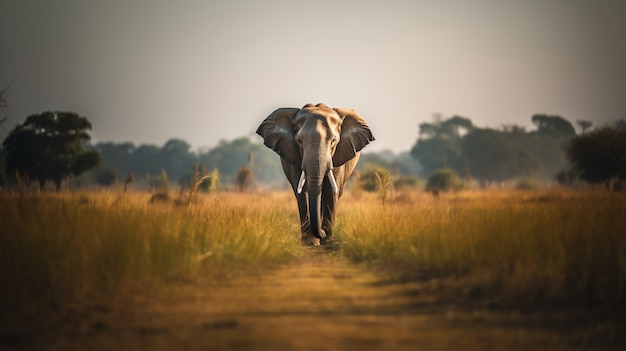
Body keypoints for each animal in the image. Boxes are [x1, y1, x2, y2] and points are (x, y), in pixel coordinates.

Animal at [255, 103, 372, 246]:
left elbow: (331, 192)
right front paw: (310, 243)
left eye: (334, 141)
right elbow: (302, 192)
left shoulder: (339, 156)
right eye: (299, 141)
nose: (323, 232)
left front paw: (328, 243)